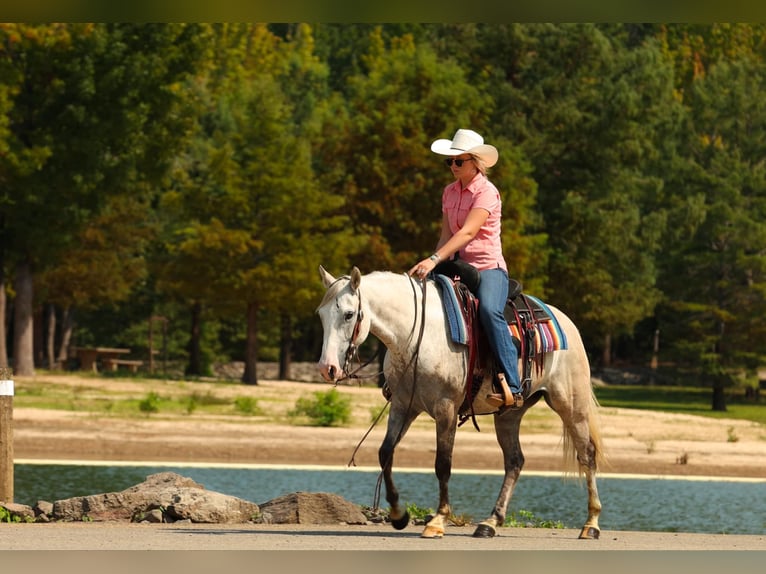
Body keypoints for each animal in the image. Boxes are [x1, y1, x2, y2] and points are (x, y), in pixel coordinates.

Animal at [316, 265, 604, 540]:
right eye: (321, 314)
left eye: (349, 314)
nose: (327, 368)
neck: (415, 336)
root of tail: (564, 321)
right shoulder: (403, 405)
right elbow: (385, 453)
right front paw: (399, 515)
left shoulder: (446, 408)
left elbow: (443, 463)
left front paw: (437, 521)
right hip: (509, 414)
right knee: (515, 461)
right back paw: (490, 522)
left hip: (570, 405)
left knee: (587, 455)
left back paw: (591, 524)